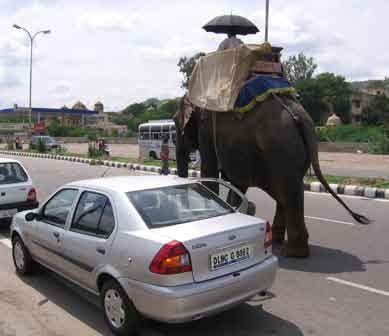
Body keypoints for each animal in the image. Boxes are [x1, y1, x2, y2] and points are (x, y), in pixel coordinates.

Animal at [174, 93, 368, 258]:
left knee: (287, 192)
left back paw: (292, 252)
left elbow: (212, 173)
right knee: (287, 191)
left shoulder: (206, 131)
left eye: (176, 122)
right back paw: (279, 241)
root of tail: (299, 117)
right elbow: (237, 183)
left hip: (279, 146)